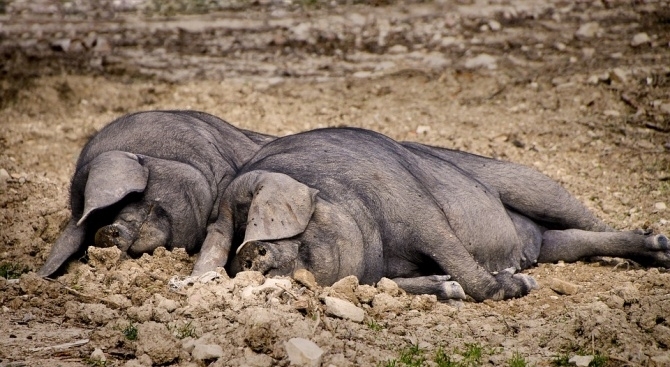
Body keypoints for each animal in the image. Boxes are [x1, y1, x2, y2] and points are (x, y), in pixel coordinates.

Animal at [192, 128, 668, 304]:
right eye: (235, 240)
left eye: (257, 221)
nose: (249, 255)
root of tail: (530, 242)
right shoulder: (374, 272)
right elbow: (392, 283)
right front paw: (448, 287)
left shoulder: (418, 210)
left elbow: (454, 254)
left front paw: (519, 286)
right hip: (552, 242)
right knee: (571, 242)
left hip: (531, 182)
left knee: (590, 220)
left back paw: (662, 246)